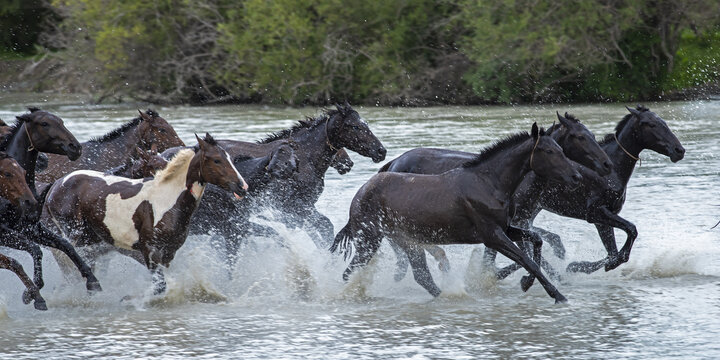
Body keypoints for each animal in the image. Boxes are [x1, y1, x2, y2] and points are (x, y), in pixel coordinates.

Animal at [0, 107, 102, 292]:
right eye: (44, 123)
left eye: (61, 121)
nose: (75, 147)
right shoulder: (4, 231)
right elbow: (35, 249)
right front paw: (33, 289)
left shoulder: (29, 227)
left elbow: (65, 244)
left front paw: (91, 279)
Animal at [43, 134, 250, 294]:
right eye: (216, 159)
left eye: (230, 158)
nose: (242, 186)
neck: (167, 200)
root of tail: (56, 184)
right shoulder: (149, 252)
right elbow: (159, 287)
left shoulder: (169, 253)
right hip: (77, 237)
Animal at [332, 124, 580, 304]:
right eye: (549, 151)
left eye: (561, 149)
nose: (576, 176)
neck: (489, 184)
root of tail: (361, 192)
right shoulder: (492, 236)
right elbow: (526, 260)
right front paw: (557, 295)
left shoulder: (506, 228)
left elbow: (536, 241)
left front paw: (527, 283)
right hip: (370, 240)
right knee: (349, 272)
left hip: (405, 240)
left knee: (421, 275)